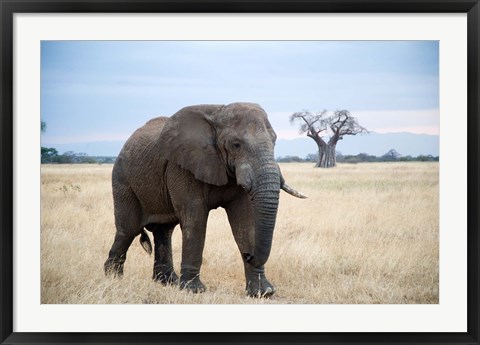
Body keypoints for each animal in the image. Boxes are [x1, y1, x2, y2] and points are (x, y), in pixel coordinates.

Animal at [105, 101, 308, 296]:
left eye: (274, 142)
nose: (249, 255)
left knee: (164, 231)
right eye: (236, 145)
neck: (219, 113)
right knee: (128, 229)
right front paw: (193, 290)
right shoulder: (182, 167)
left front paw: (263, 292)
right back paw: (113, 279)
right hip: (122, 180)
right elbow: (195, 219)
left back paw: (168, 282)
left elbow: (244, 220)